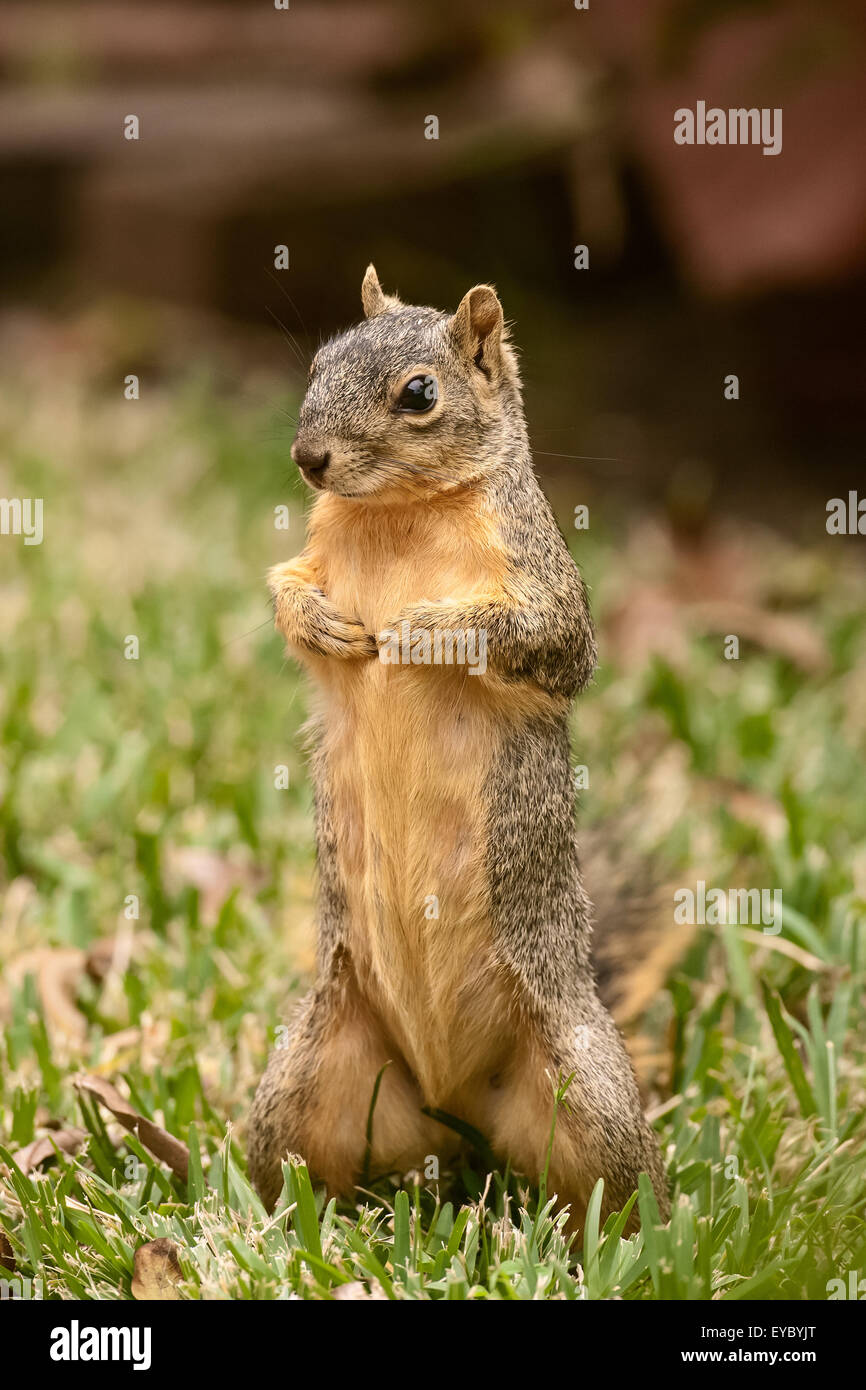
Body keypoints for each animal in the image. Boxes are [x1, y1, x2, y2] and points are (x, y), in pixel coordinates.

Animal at [248, 268, 670, 1228]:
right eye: (320, 361)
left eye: (419, 394)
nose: (308, 459)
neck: (402, 514)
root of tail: (454, 1106)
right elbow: (285, 589)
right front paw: (319, 620)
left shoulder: (542, 586)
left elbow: (548, 642)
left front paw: (424, 630)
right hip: (304, 1075)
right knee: (297, 1174)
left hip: (587, 1095)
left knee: (625, 1200)